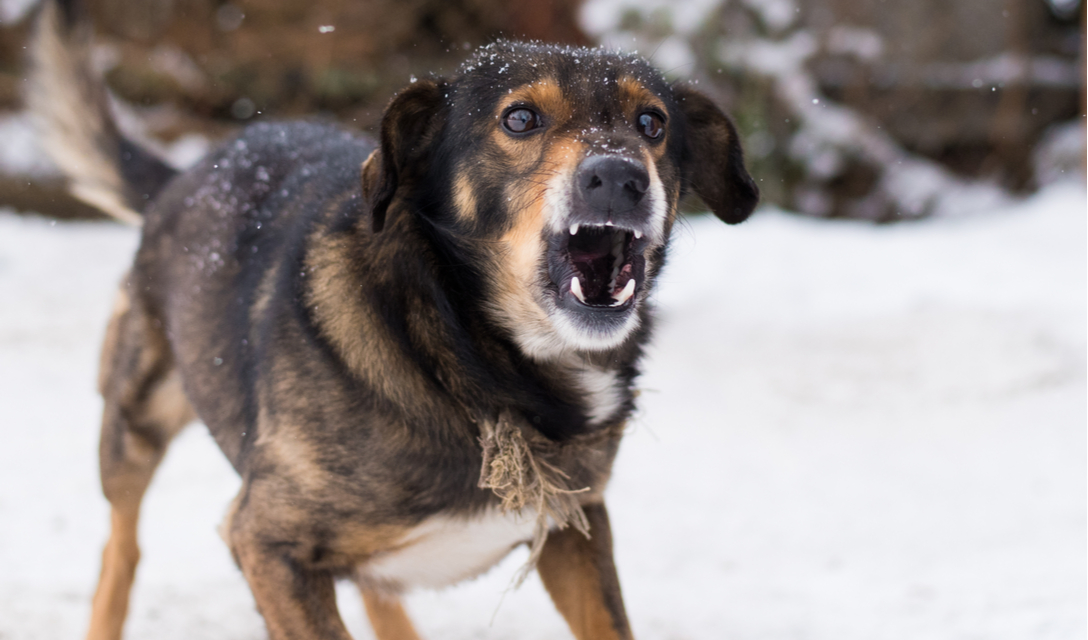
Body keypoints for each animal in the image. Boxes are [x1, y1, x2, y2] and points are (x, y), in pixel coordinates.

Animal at [27, 1, 757, 640]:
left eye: (652, 123)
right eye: (521, 118)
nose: (621, 177)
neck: (466, 357)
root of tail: (189, 173)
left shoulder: (575, 523)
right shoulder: (266, 541)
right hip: (135, 419)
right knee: (121, 547)